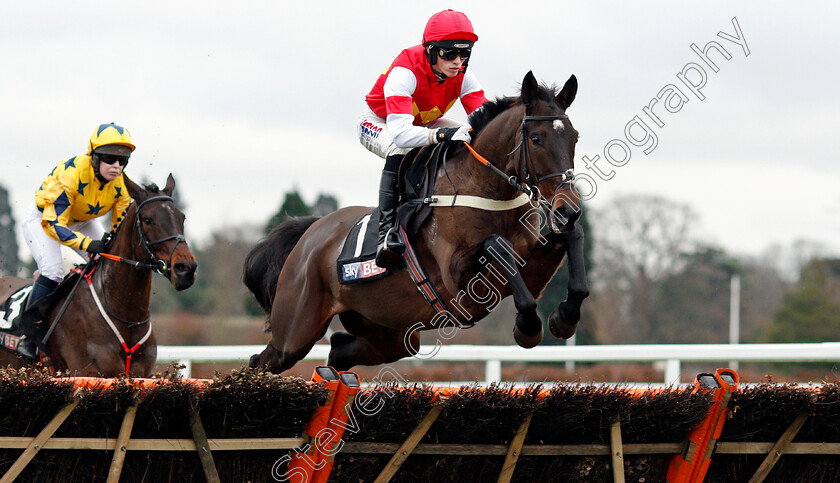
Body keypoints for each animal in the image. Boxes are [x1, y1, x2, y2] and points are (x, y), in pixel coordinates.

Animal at [246, 73, 588, 374]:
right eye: (537, 138)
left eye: (575, 137)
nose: (567, 208)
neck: (486, 189)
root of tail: (310, 235)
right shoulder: (458, 281)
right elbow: (497, 244)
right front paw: (528, 327)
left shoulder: (528, 268)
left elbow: (571, 237)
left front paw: (564, 317)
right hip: (295, 330)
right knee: (261, 362)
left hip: (388, 334)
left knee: (338, 351)